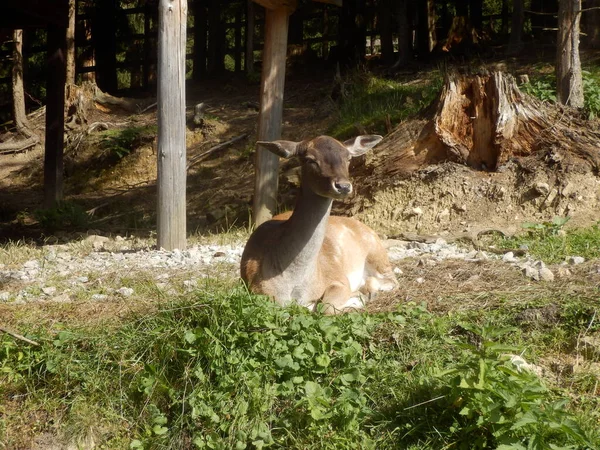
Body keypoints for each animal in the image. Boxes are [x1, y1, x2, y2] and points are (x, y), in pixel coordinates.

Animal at [239, 135, 398, 314]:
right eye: (310, 159)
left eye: (348, 158)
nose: (343, 186)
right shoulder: (260, 291)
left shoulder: (338, 278)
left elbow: (326, 307)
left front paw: (356, 298)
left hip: (376, 253)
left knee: (392, 280)